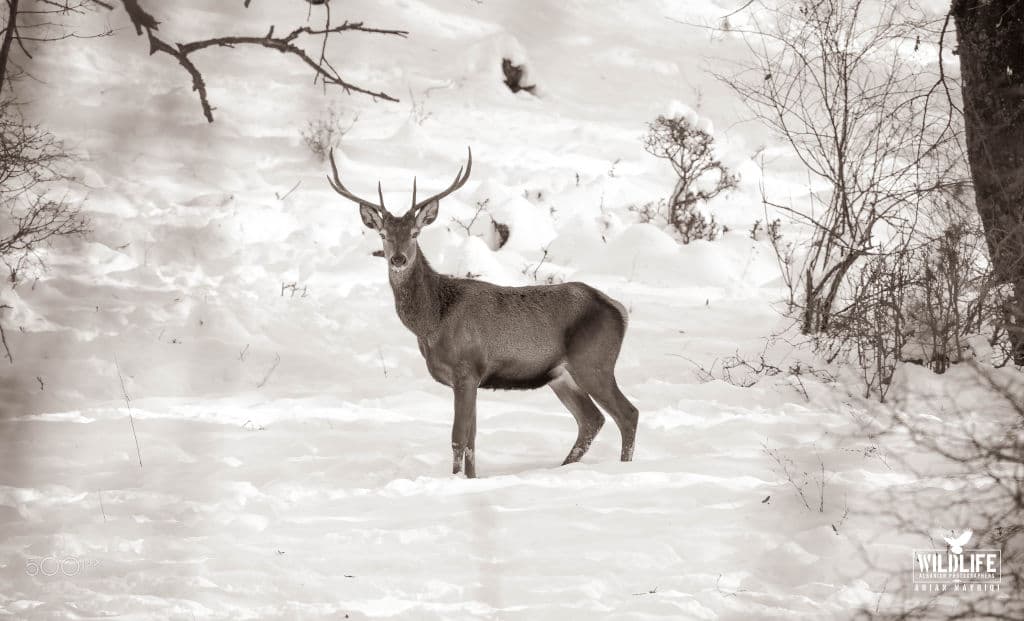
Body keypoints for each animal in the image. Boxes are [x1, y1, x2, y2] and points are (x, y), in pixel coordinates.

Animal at [327, 147, 638, 478]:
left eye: (415, 233)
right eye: (383, 234)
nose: (398, 259)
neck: (431, 321)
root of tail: (618, 310)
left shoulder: (466, 369)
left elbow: (457, 438)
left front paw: (455, 479)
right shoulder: (473, 378)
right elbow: (471, 441)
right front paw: (471, 479)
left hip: (594, 362)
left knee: (627, 413)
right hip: (561, 375)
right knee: (592, 420)